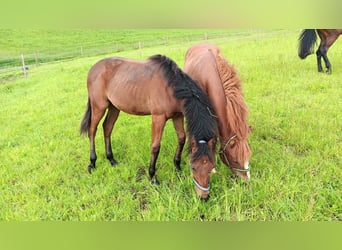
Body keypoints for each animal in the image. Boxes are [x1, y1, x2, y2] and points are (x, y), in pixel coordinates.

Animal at [80, 54, 218, 199]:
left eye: (211, 167)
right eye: (193, 167)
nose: (204, 197)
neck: (170, 87)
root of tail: (93, 68)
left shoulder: (177, 116)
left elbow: (181, 138)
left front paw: (177, 166)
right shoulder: (158, 117)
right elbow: (155, 147)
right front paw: (152, 176)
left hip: (114, 107)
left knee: (107, 127)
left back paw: (111, 159)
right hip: (98, 106)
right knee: (92, 130)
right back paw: (92, 163)